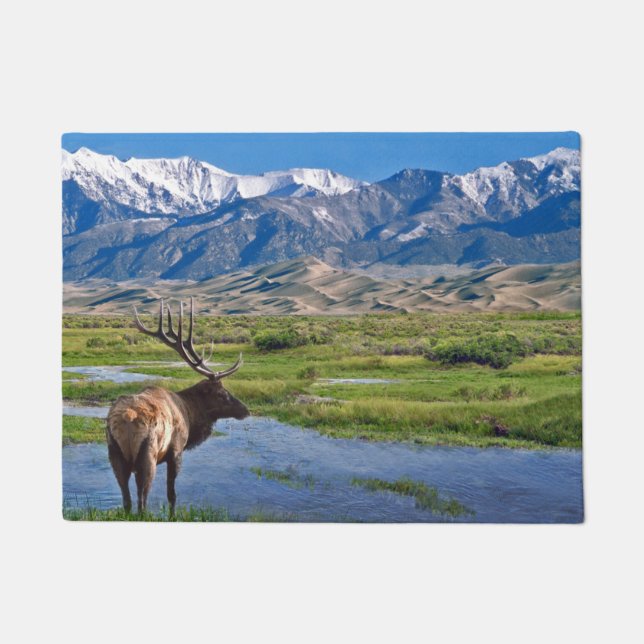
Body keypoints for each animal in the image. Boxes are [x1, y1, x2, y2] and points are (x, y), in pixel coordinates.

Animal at [106, 298, 249, 514]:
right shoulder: (176, 451)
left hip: (114, 452)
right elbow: (171, 495)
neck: (190, 414)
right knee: (142, 501)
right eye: (221, 394)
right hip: (147, 455)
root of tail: (126, 419)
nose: (246, 410)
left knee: (127, 500)